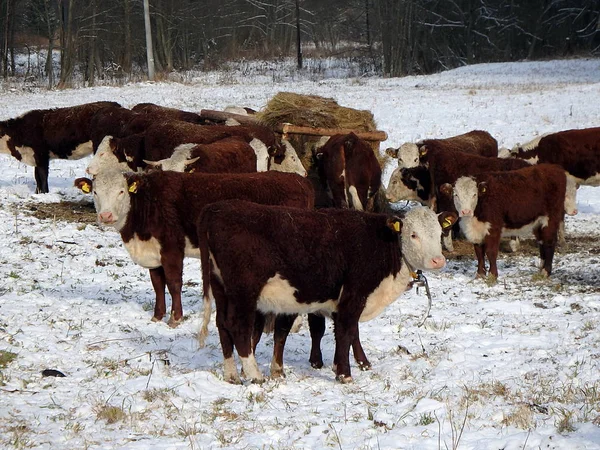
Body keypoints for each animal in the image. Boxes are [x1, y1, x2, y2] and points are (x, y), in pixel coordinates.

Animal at [76, 169, 314, 326]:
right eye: (95, 192)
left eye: (121, 192)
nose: (106, 216)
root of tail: (299, 180)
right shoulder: (153, 253)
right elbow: (157, 285)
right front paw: (158, 316)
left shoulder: (172, 248)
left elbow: (173, 283)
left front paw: (175, 318)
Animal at [197, 200, 454, 384]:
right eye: (413, 234)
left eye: (439, 233)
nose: (438, 260)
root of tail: (216, 209)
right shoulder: (354, 294)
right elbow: (346, 332)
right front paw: (344, 374)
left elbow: (351, 332)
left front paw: (358, 364)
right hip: (244, 292)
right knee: (238, 327)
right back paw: (255, 375)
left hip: (221, 288)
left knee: (222, 326)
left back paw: (231, 375)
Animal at [440, 164, 568, 278]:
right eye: (456, 195)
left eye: (474, 194)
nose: (465, 211)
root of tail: (555, 168)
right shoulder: (476, 231)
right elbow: (479, 252)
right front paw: (480, 274)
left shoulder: (494, 227)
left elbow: (491, 252)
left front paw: (493, 275)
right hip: (538, 222)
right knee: (542, 242)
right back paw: (541, 269)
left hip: (551, 218)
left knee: (549, 242)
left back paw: (546, 271)